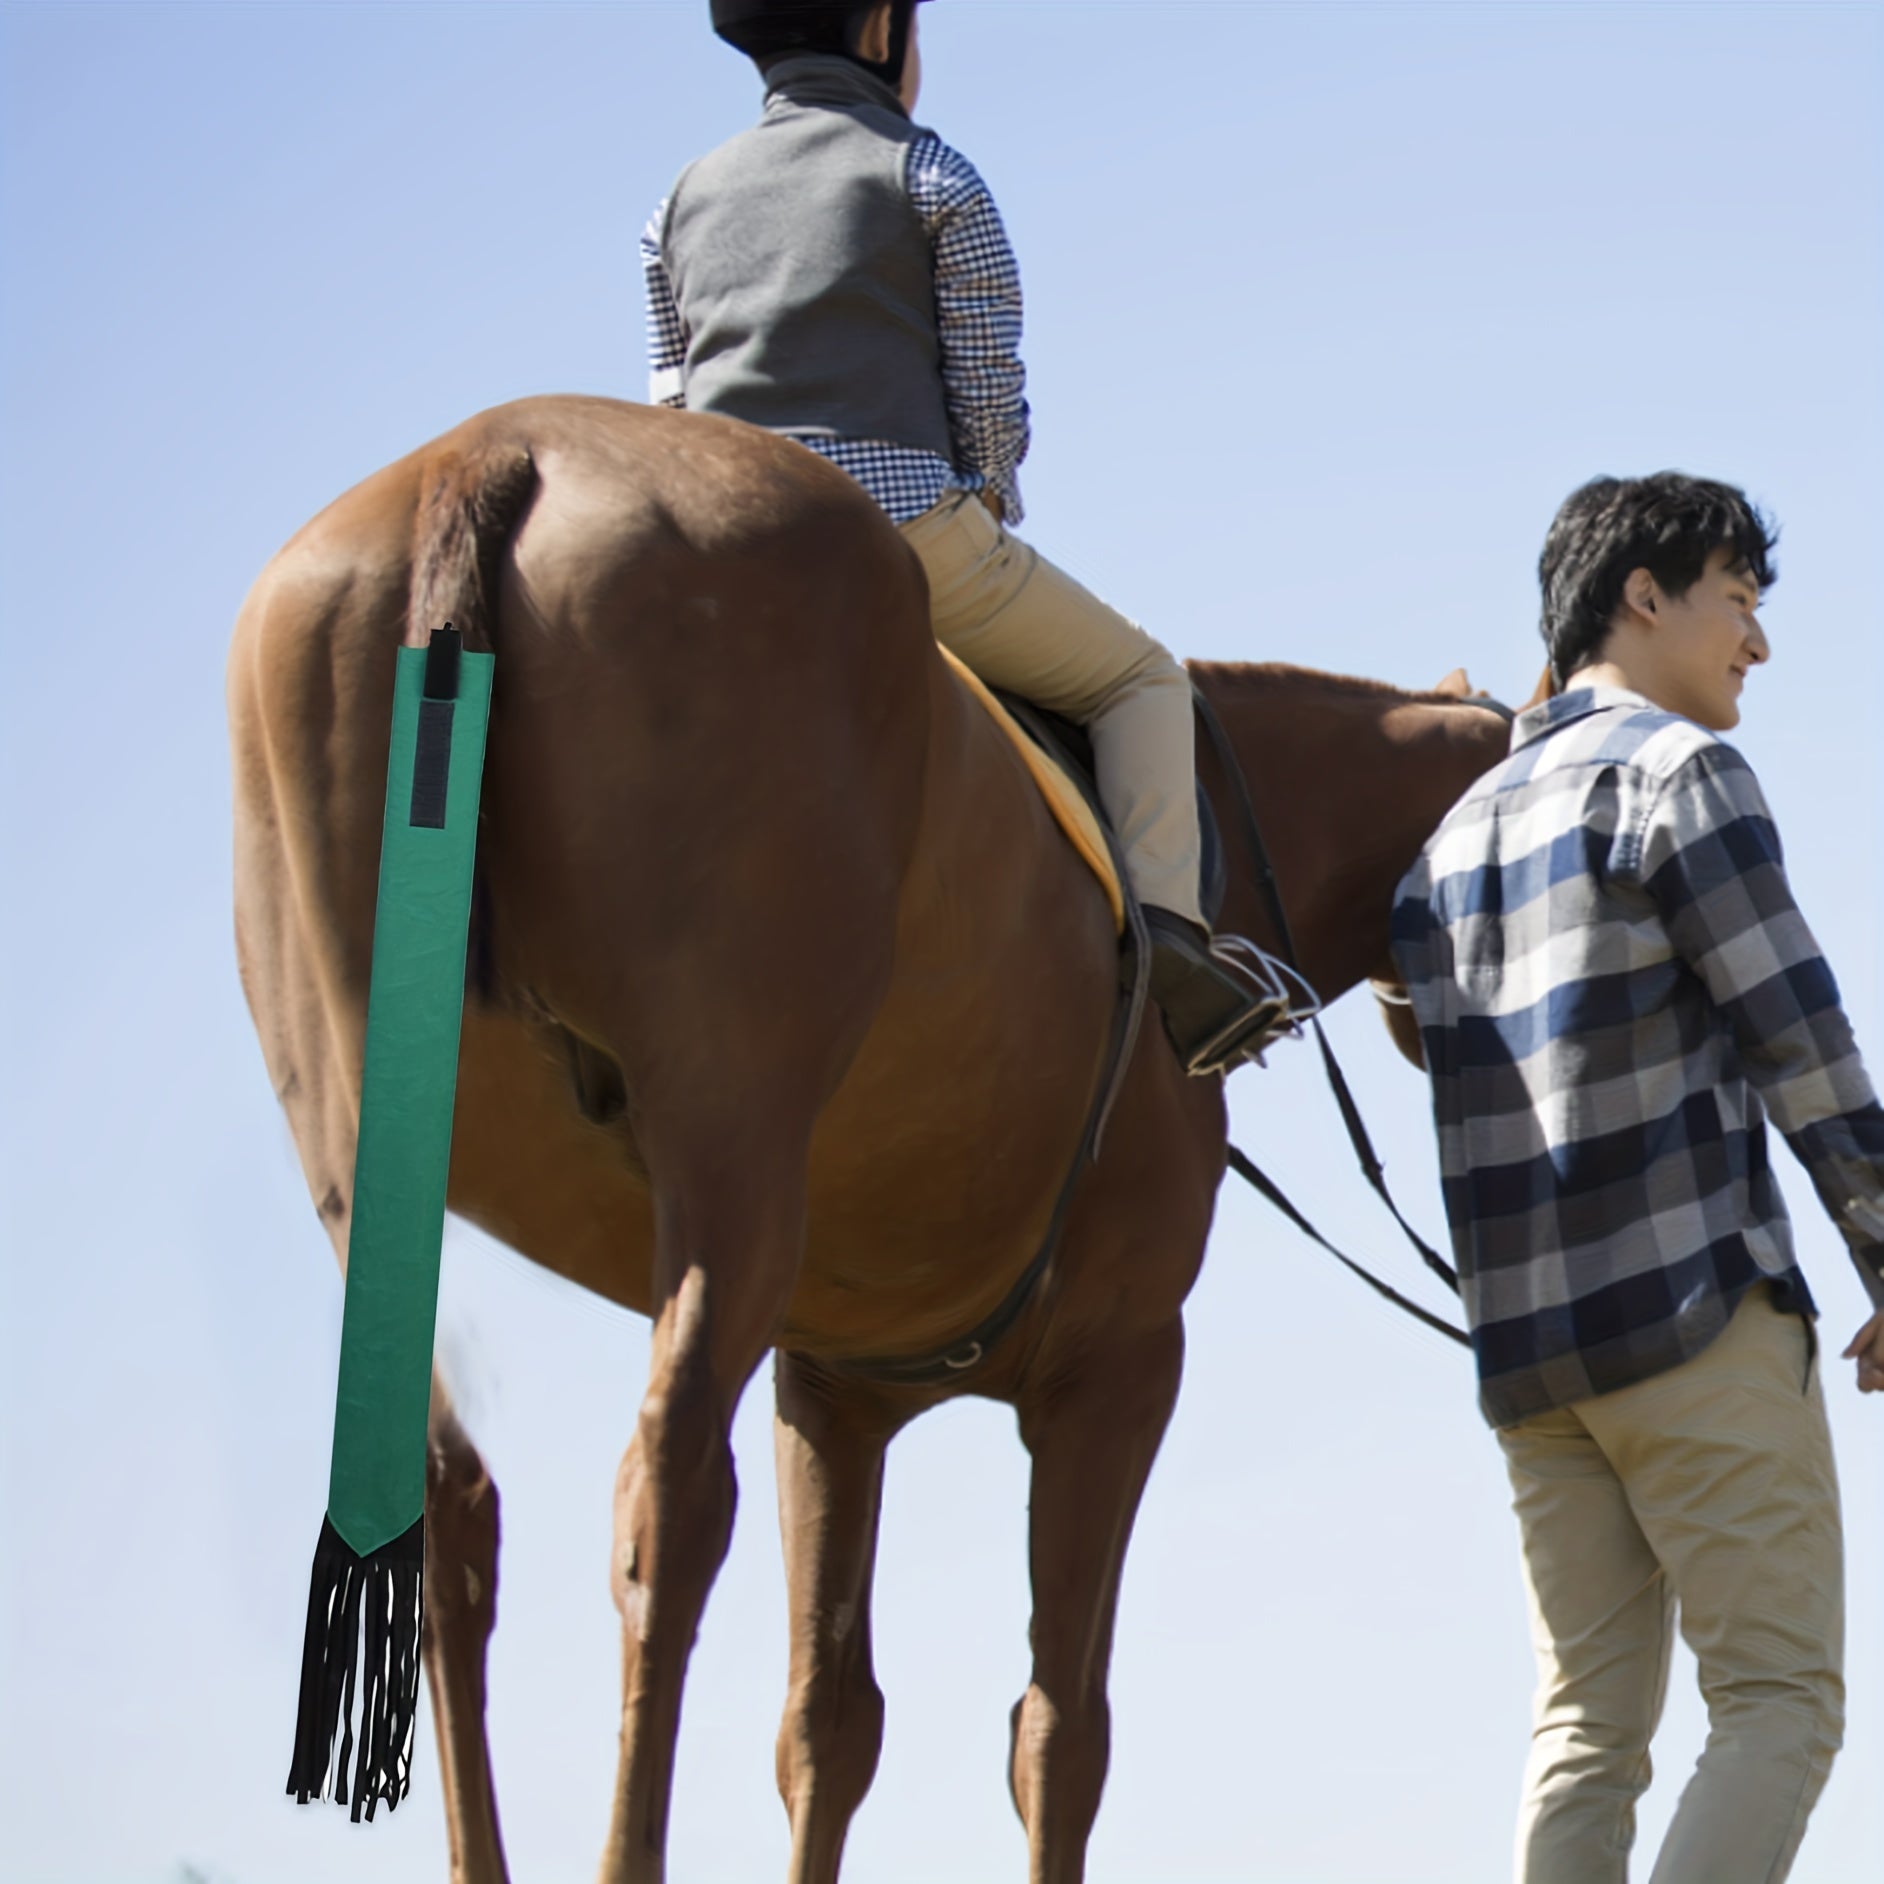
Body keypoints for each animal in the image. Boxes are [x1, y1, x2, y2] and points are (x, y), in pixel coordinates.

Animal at [227, 393, 1511, 1884]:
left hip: (367, 1171)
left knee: (444, 1505)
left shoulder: (834, 1392)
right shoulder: (1119, 1369)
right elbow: (1061, 1729)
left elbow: (828, 1722)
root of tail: (498, 454)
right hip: (730, 1163)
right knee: (667, 1503)